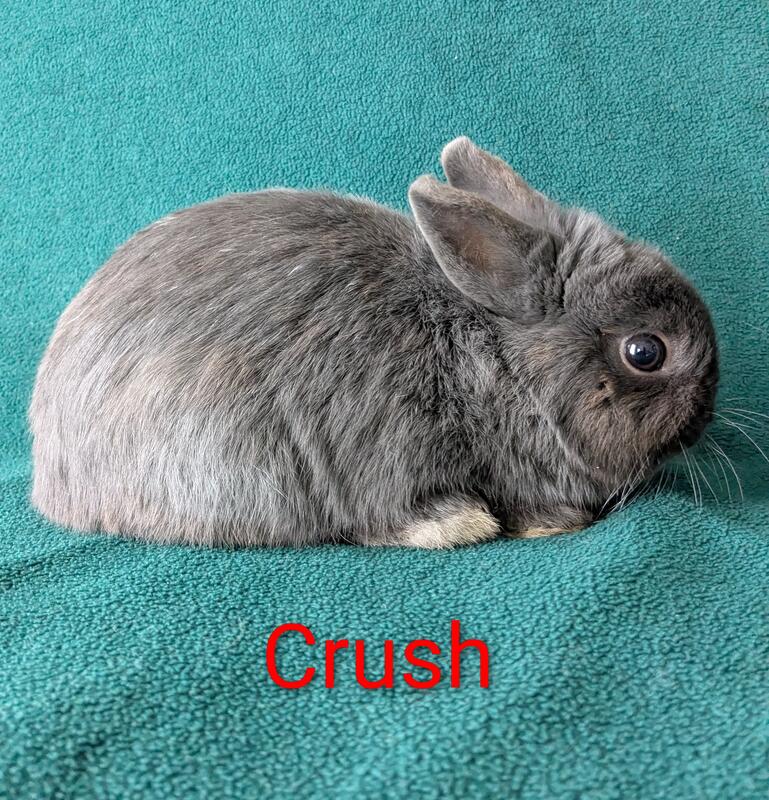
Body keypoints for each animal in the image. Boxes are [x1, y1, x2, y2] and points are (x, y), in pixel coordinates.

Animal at [28, 137, 718, 548]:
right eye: (645, 352)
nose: (706, 417)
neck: (498, 360)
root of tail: (50, 478)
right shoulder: (375, 451)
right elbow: (390, 517)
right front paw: (474, 524)